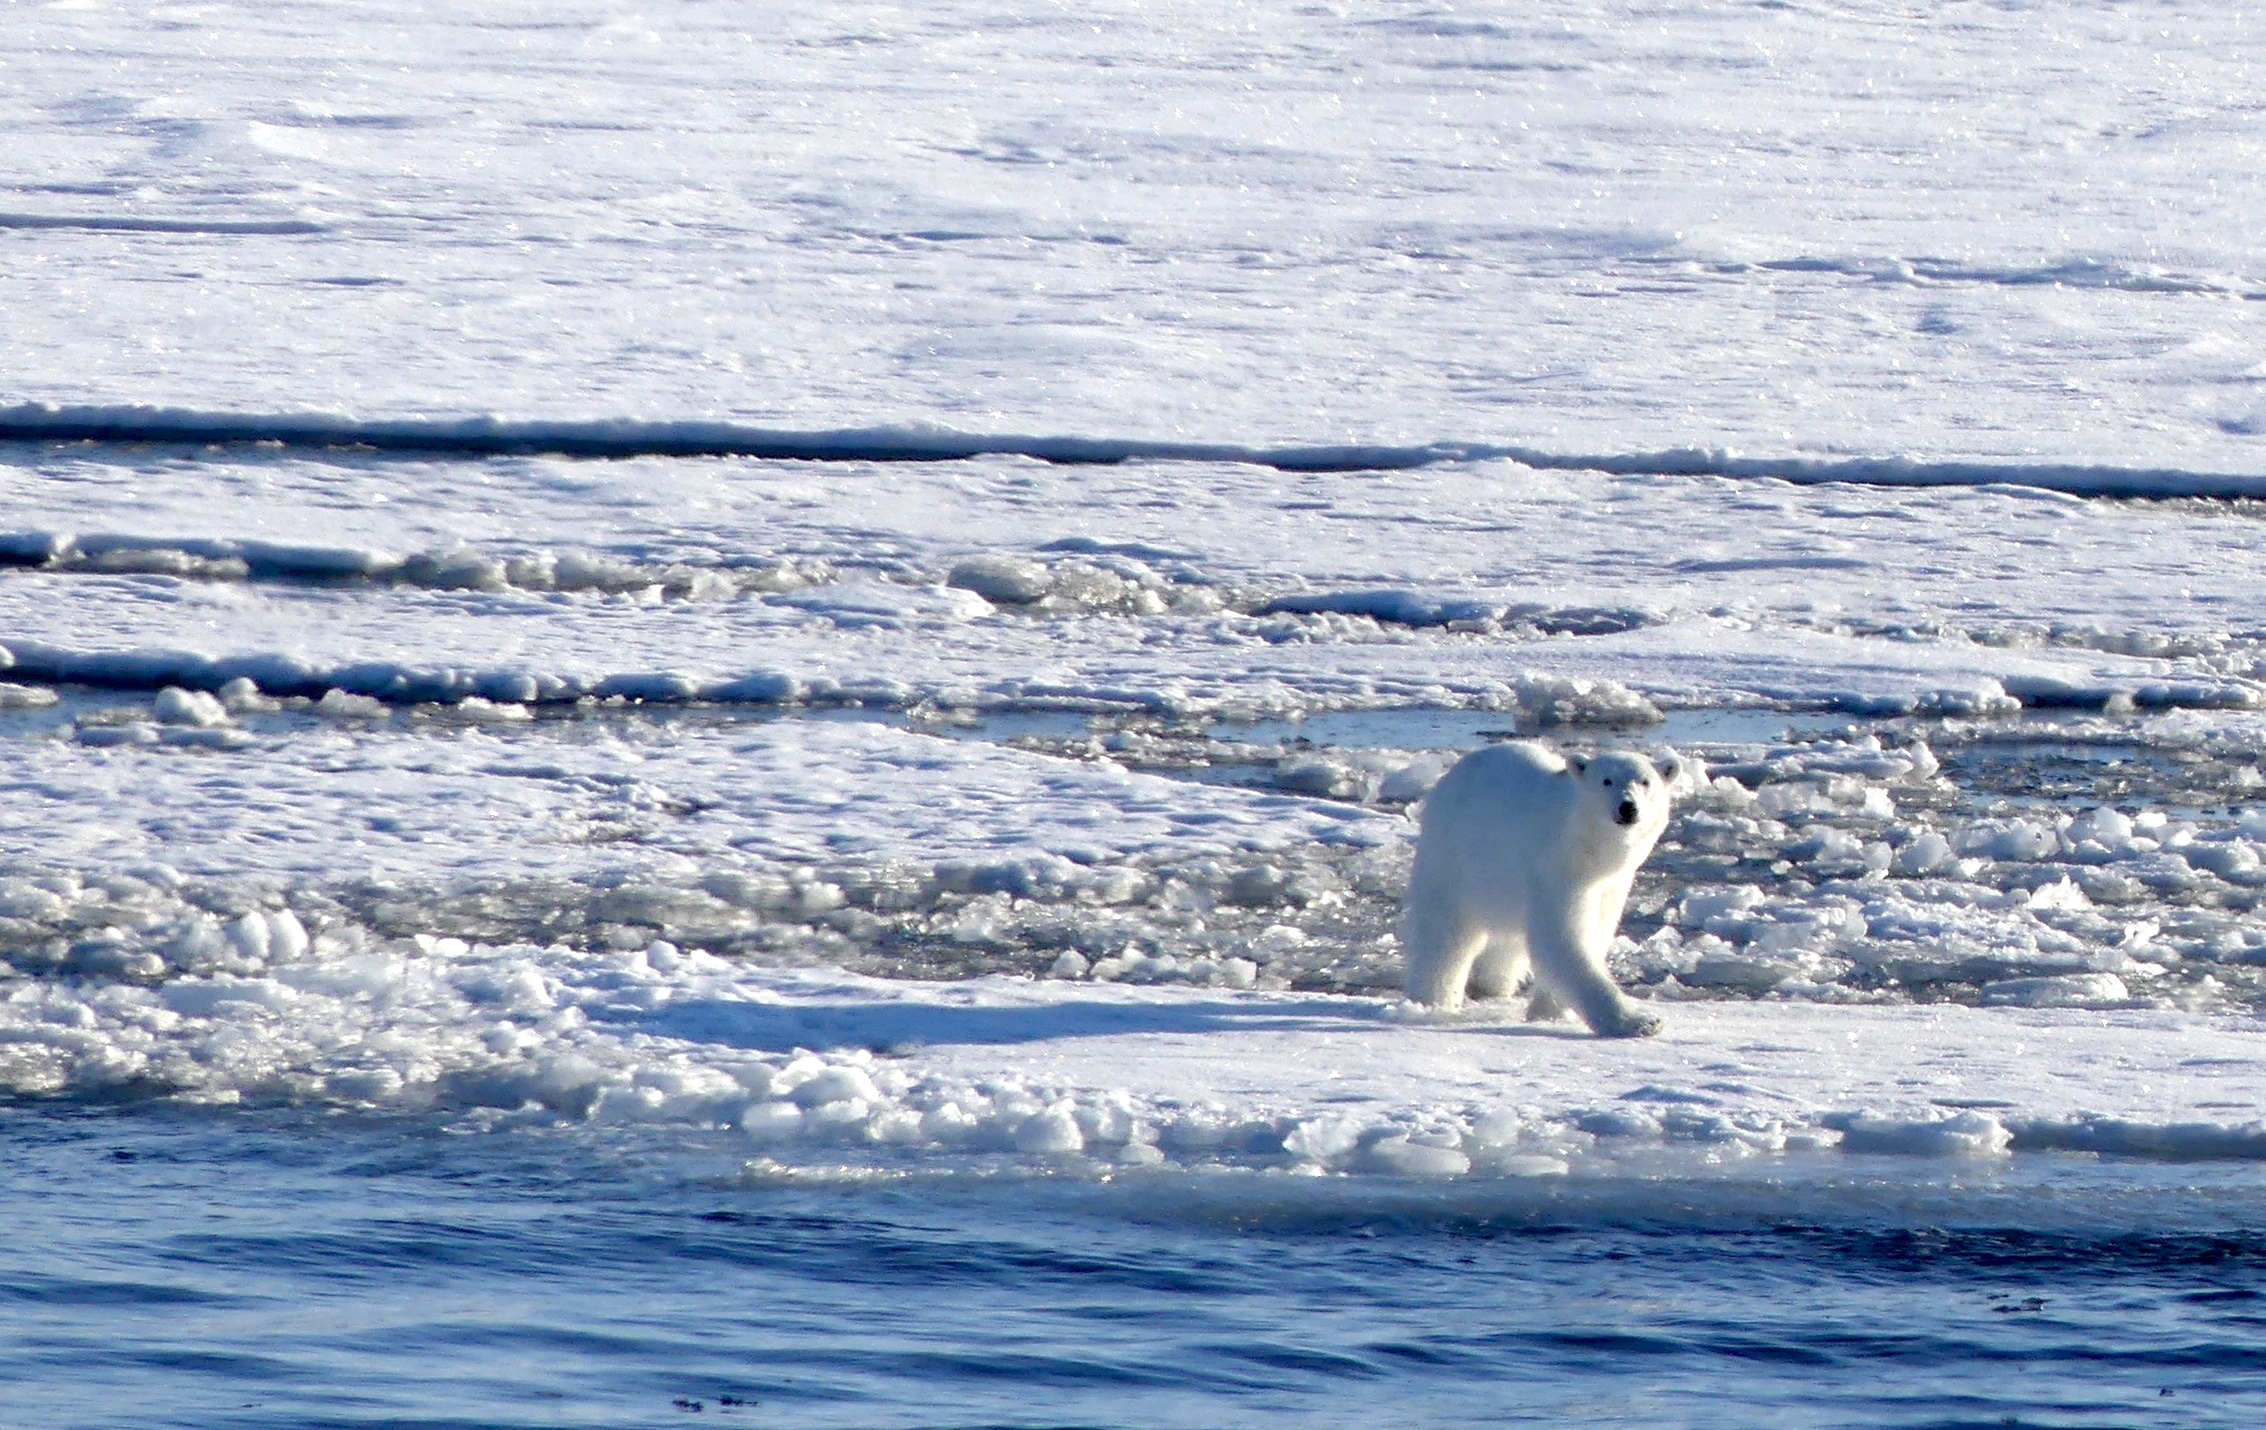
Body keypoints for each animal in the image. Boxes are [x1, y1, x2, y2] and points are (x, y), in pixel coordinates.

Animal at [1400, 741, 1677, 1037]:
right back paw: (1432, 1002)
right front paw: (1639, 1022)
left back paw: (1491, 988)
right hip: (1453, 857)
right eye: (1606, 780)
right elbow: (1563, 940)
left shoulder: (1611, 885)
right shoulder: (1558, 872)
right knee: (1445, 937)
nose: (1627, 807)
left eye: (1645, 781)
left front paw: (1549, 1012)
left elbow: (1596, 932)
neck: (1589, 853)